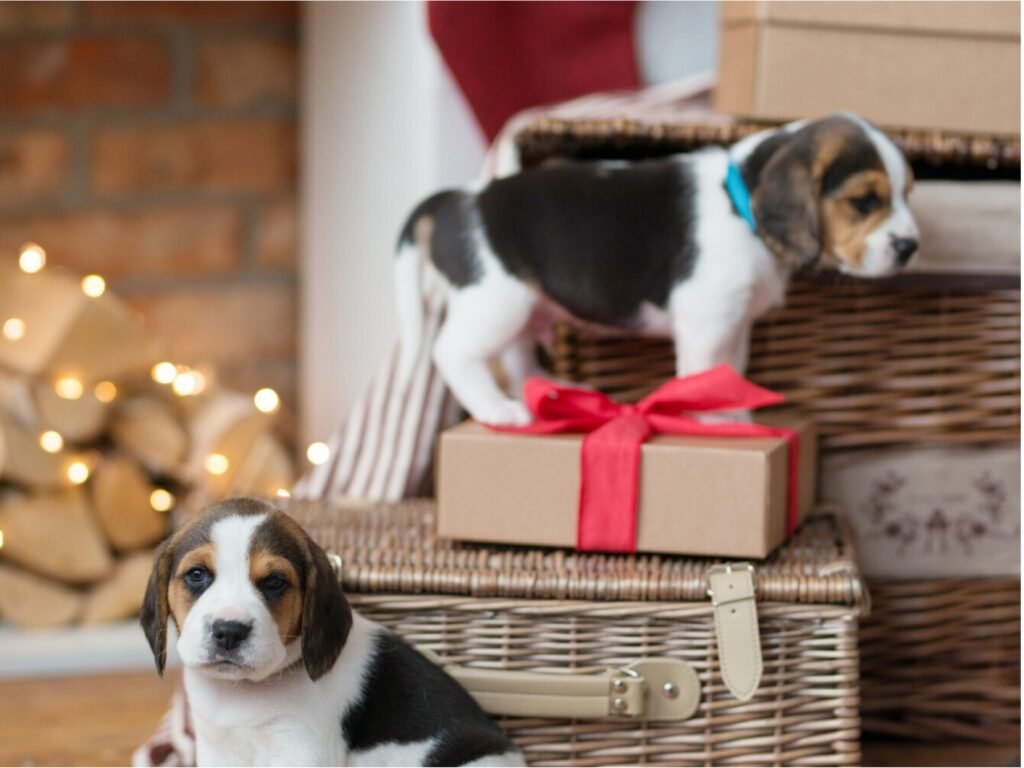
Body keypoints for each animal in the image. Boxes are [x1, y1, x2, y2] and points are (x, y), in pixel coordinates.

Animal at [141, 499, 524, 768]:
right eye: (196, 575)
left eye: (275, 582)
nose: (229, 631)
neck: (244, 693)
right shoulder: (216, 746)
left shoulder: (301, 749)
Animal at [393, 112, 921, 428]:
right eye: (864, 200)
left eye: (908, 194)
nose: (911, 246)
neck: (741, 208)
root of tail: (457, 199)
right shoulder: (709, 320)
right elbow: (704, 373)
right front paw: (714, 421)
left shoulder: (736, 321)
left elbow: (730, 371)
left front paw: (737, 416)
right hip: (497, 301)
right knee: (451, 352)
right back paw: (500, 410)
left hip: (521, 308)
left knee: (519, 358)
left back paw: (557, 391)